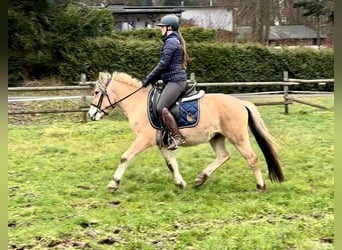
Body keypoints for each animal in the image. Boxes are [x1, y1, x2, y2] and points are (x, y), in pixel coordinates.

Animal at [87, 71, 284, 192]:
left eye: (96, 92)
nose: (90, 115)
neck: (138, 103)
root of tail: (241, 103)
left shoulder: (144, 139)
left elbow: (125, 157)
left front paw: (113, 183)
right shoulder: (162, 144)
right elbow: (171, 164)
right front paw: (181, 183)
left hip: (238, 137)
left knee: (252, 158)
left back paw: (260, 185)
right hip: (216, 137)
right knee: (223, 156)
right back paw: (201, 178)